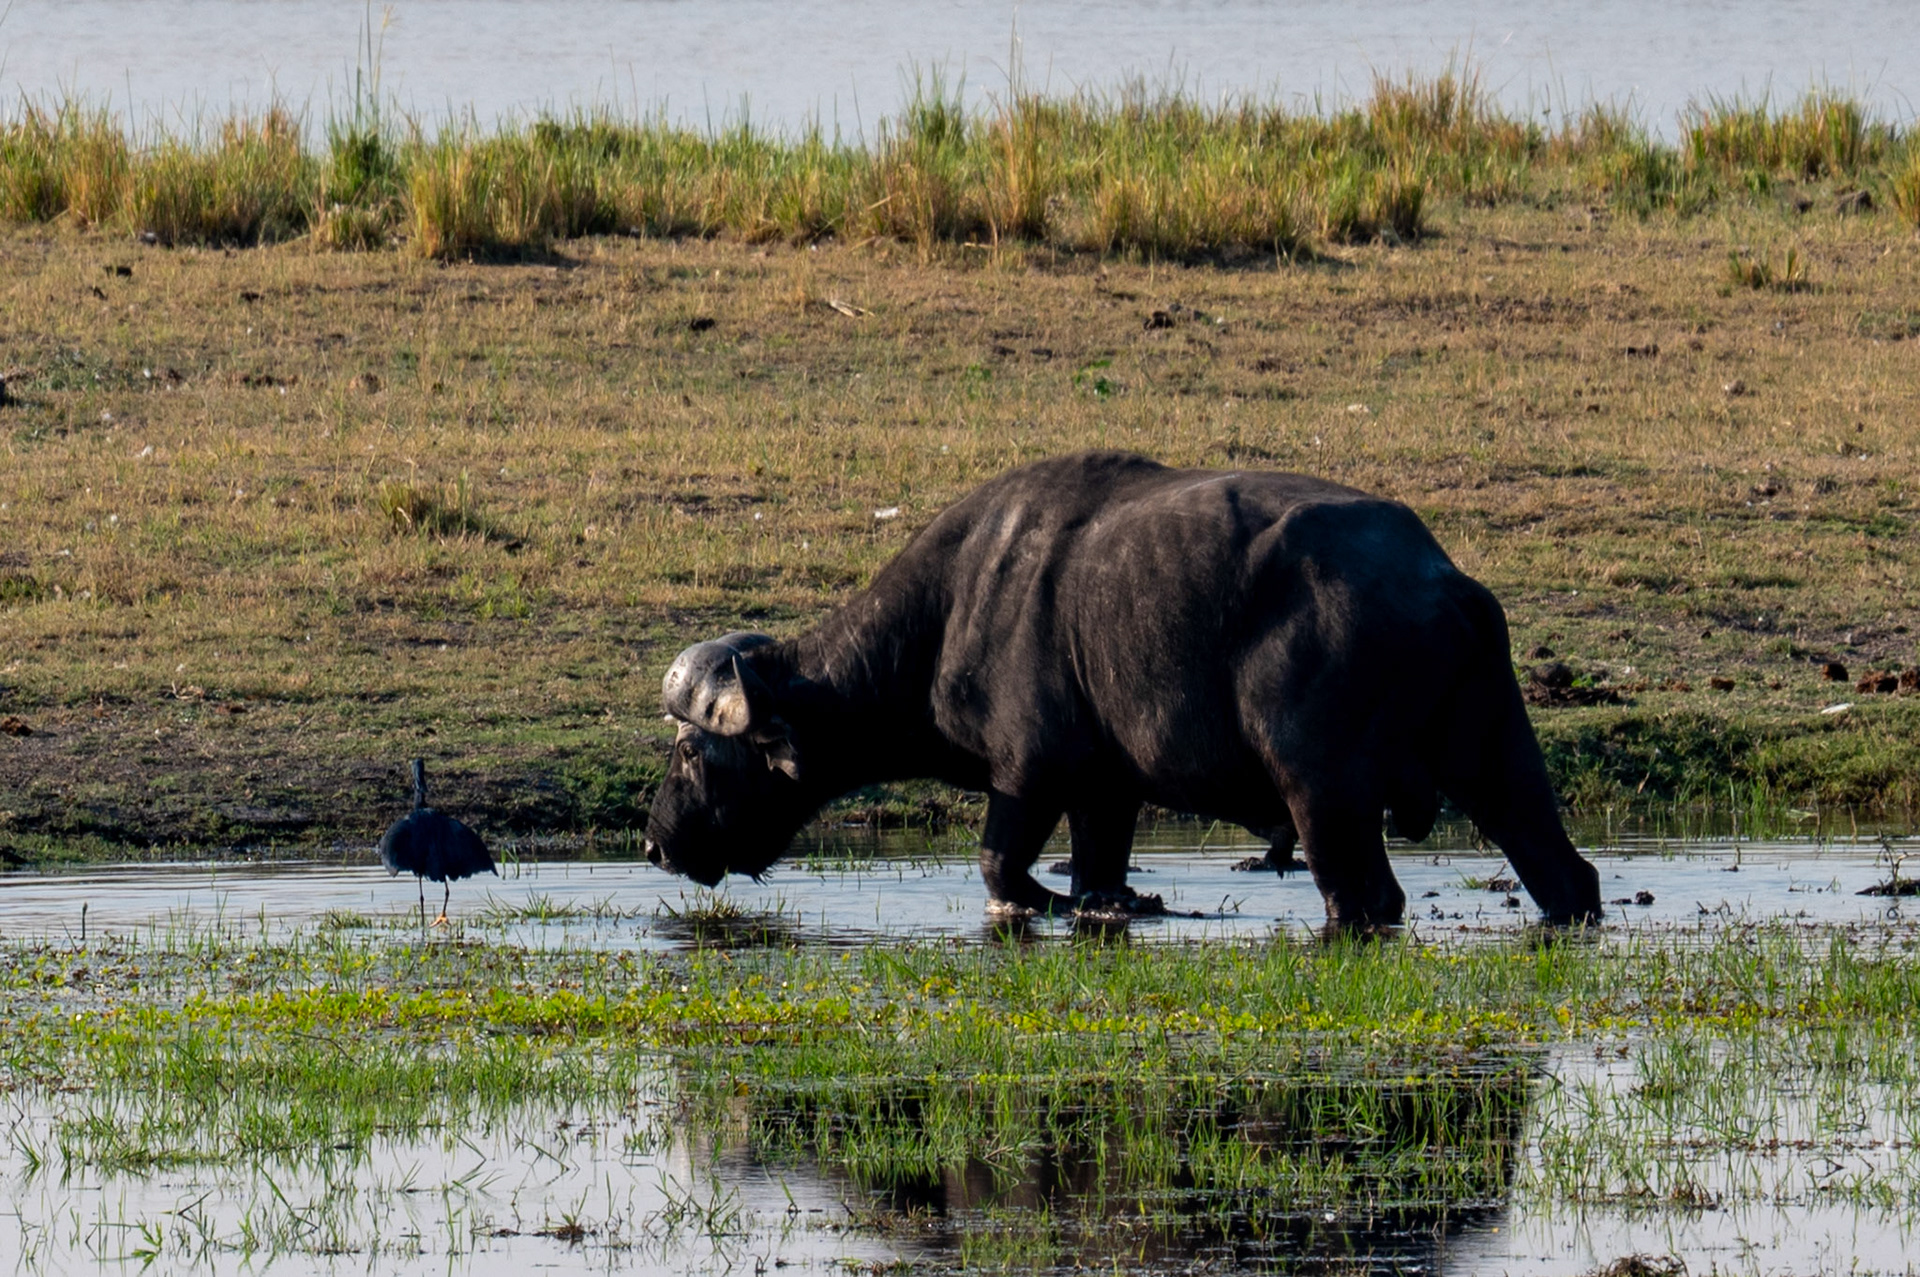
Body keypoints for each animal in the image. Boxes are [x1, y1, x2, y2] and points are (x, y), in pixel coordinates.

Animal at [644, 452, 1602, 927]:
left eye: (692, 749)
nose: (652, 843)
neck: (950, 610)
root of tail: (1445, 581)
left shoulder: (1028, 774)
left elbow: (999, 864)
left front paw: (1044, 900)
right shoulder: (1106, 791)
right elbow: (1098, 874)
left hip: (1322, 791)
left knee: (1366, 899)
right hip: (1501, 756)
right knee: (1566, 871)